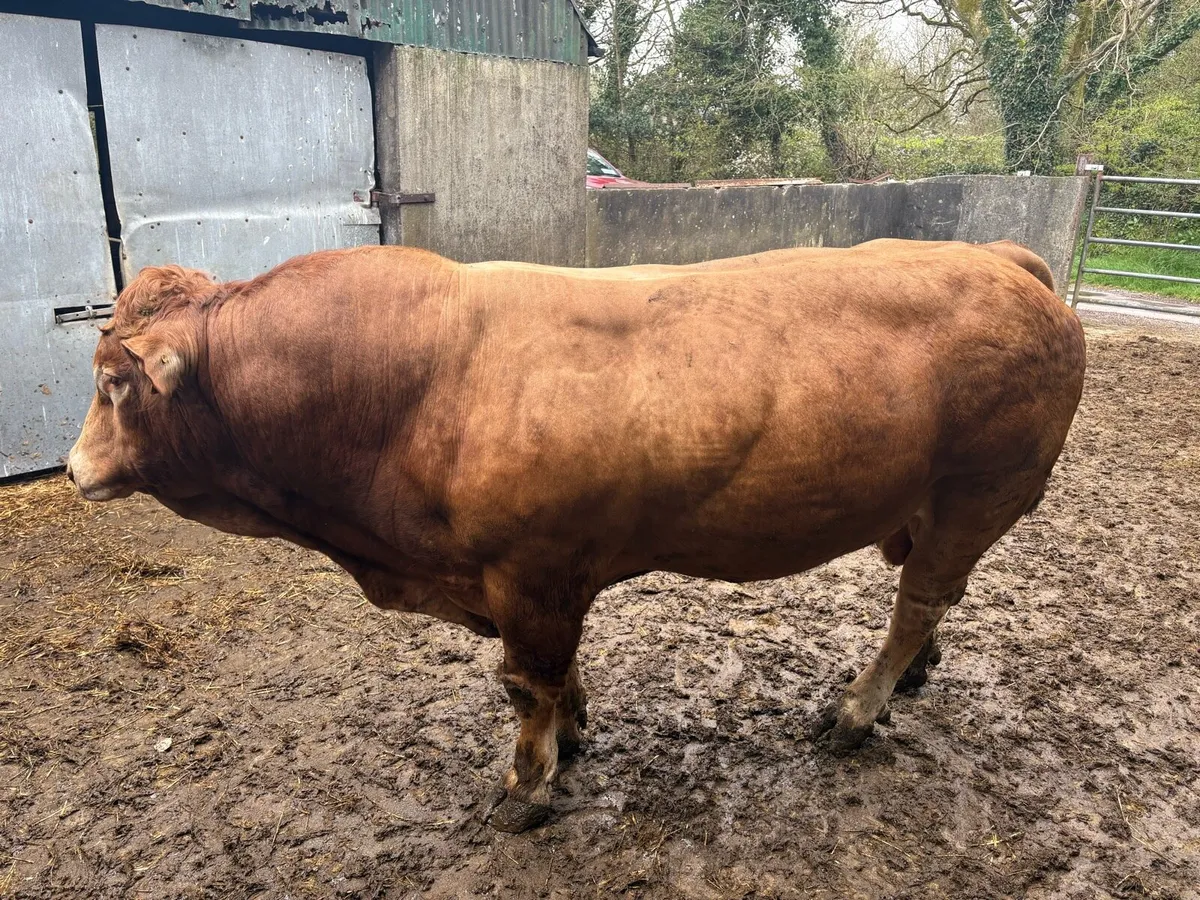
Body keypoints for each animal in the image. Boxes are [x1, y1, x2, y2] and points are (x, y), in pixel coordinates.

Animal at [67, 239, 1086, 832]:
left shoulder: (533, 573)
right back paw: (910, 678)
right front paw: (577, 727)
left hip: (977, 492)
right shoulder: (531, 580)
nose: (74, 469)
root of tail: (1002, 259)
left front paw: (529, 784)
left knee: (919, 601)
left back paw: (857, 709)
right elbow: (559, 675)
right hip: (923, 507)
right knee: (930, 601)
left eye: (114, 381)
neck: (417, 379)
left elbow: (526, 684)